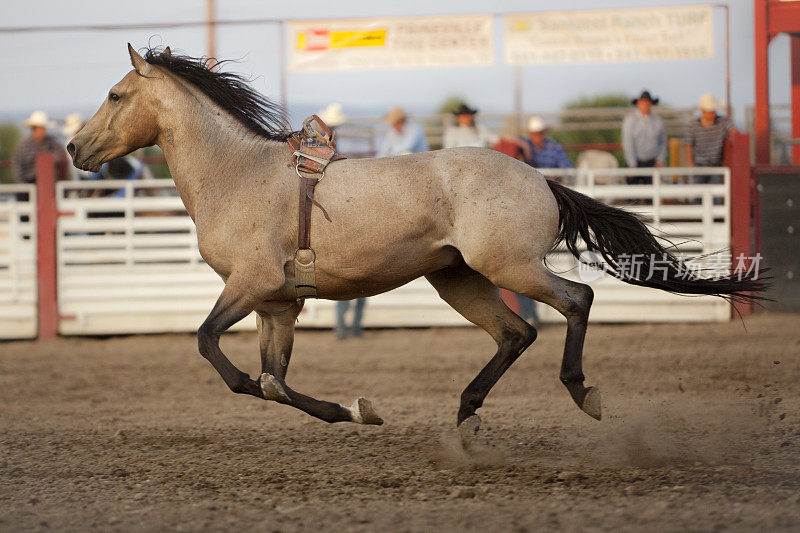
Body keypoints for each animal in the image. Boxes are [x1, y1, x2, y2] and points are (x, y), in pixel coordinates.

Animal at [67, 45, 764, 436]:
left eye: (115, 94)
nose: (74, 147)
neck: (237, 173)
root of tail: (538, 176)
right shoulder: (278, 303)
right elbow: (271, 381)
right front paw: (358, 411)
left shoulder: (251, 285)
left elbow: (216, 351)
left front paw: (356, 410)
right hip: (456, 277)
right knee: (517, 332)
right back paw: (465, 413)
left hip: (509, 266)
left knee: (575, 301)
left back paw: (579, 392)